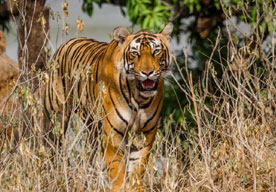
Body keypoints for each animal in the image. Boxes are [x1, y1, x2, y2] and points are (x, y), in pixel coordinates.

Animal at [44, 23, 174, 191]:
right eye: (135, 53)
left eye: (156, 51)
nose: (147, 72)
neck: (139, 98)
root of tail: (67, 42)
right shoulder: (113, 133)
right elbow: (117, 169)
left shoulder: (146, 133)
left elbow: (137, 168)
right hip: (58, 116)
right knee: (53, 146)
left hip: (93, 126)